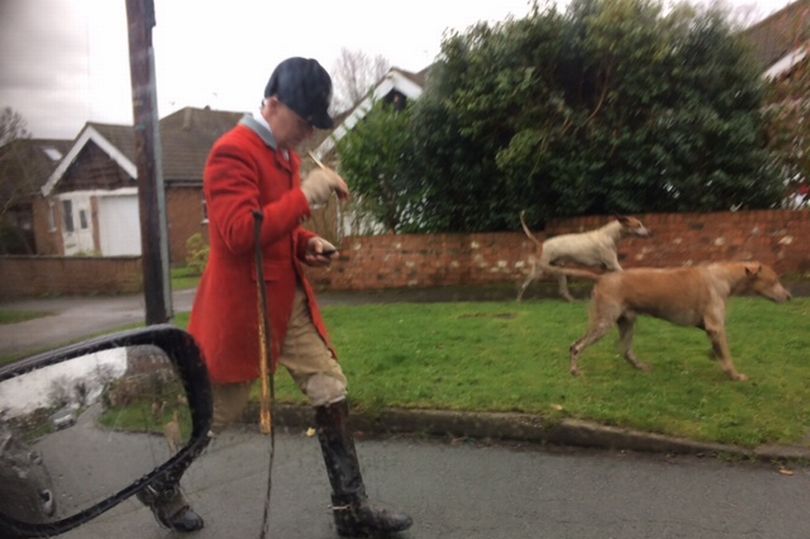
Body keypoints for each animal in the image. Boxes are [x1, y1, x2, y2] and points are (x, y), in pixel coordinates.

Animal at [516, 212, 652, 304]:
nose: (649, 232)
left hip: (559, 270)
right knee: (525, 284)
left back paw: (572, 300)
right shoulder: (613, 264)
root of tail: (541, 244)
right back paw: (520, 300)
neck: (609, 235)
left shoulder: (606, 267)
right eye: (638, 225)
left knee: (562, 290)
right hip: (540, 270)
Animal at [568, 262, 788, 382]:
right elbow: (727, 357)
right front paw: (735, 376)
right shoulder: (716, 327)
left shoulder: (709, 328)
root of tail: (601, 278)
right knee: (576, 346)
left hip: (627, 322)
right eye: (774, 280)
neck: (723, 276)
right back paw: (575, 371)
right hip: (603, 323)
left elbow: (718, 352)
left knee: (625, 351)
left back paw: (642, 367)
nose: (789, 296)